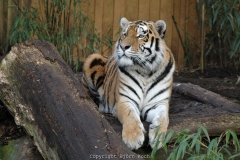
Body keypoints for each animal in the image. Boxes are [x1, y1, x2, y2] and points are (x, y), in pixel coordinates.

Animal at [82, 17, 174, 150]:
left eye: (141, 35)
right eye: (124, 34)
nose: (123, 46)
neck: (146, 71)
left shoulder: (158, 103)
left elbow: (163, 118)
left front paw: (158, 138)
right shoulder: (125, 100)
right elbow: (130, 115)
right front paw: (133, 139)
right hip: (93, 58)